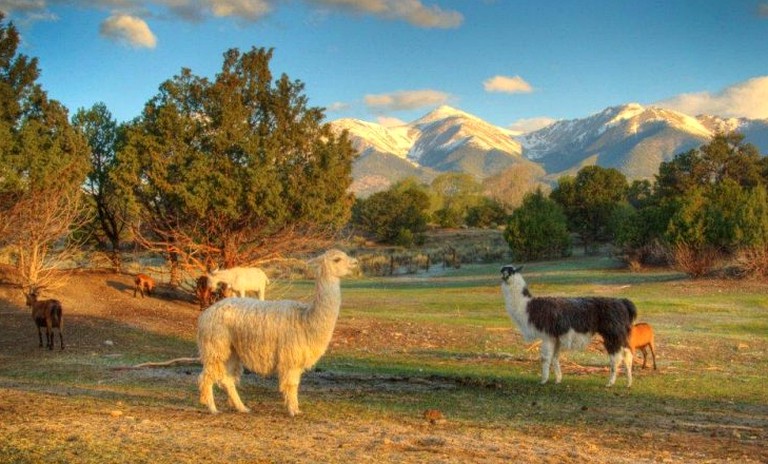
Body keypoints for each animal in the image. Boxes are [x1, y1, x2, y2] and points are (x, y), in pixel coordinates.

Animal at [195, 250, 356, 416]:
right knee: (206, 377)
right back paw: (213, 409)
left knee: (227, 379)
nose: (355, 262)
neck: (306, 319)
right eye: (337, 259)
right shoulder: (290, 357)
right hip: (215, 345)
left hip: (231, 350)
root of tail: (206, 313)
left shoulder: (295, 358)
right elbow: (291, 384)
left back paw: (242, 407)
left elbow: (295, 384)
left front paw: (296, 409)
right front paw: (293, 410)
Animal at [498, 264, 636, 388]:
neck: (526, 306)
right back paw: (628, 383)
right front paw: (558, 379)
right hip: (620, 333)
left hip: (612, 333)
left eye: (510, 271)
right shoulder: (556, 337)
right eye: (503, 270)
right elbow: (555, 357)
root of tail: (623, 302)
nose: (503, 275)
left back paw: (610, 383)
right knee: (627, 354)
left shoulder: (547, 335)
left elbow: (545, 358)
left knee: (616, 357)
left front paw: (543, 380)